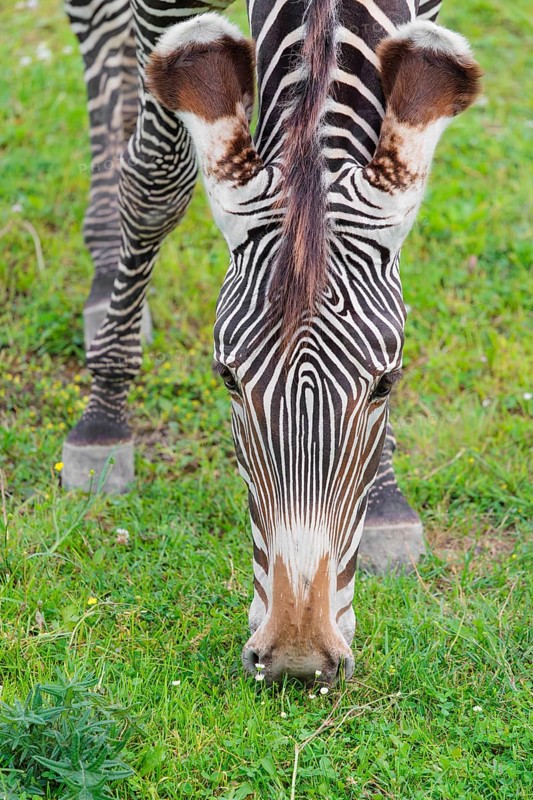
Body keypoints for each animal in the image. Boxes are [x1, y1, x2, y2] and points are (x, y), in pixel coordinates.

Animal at [62, 0, 480, 683]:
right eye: (227, 378)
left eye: (387, 382)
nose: (297, 657)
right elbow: (156, 178)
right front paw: (104, 416)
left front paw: (388, 495)